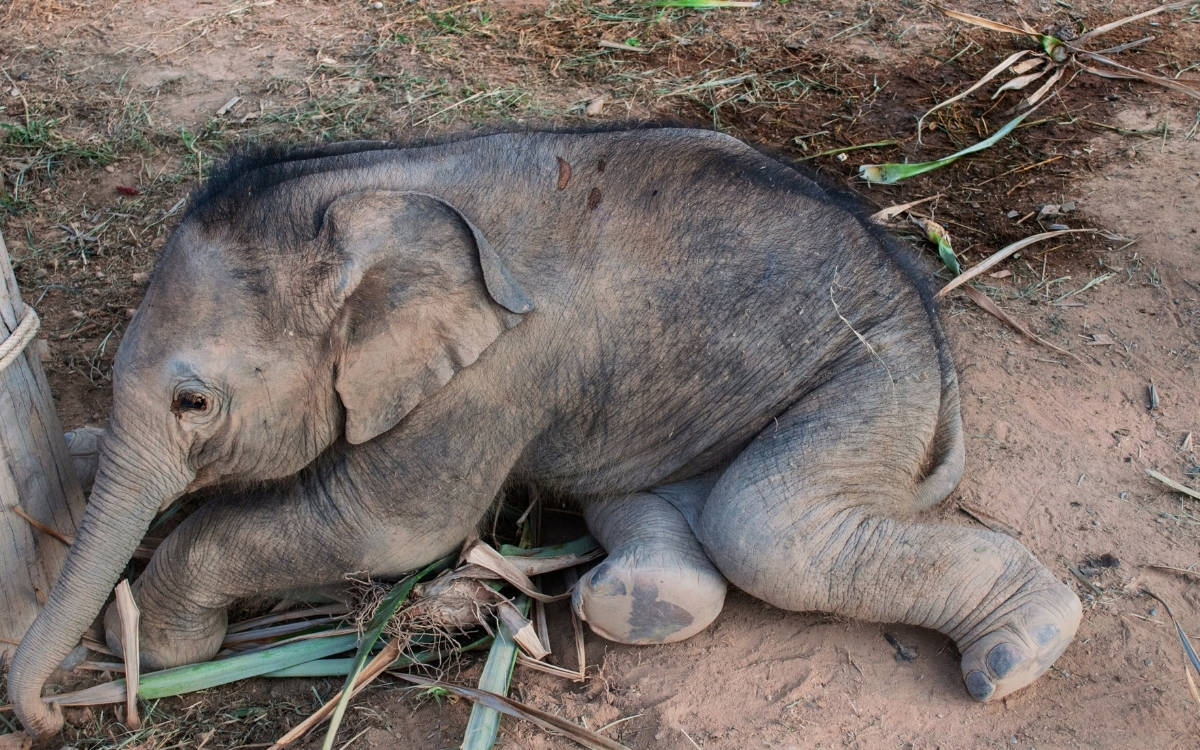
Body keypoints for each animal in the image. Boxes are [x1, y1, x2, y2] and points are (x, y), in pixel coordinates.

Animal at [9, 126, 1084, 734]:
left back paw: (1020, 653)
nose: (48, 718)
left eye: (193, 403)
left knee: (768, 529)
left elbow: (387, 526)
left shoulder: (499, 372)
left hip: (869, 377)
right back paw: (637, 604)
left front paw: (156, 635)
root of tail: (933, 329)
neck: (376, 185)